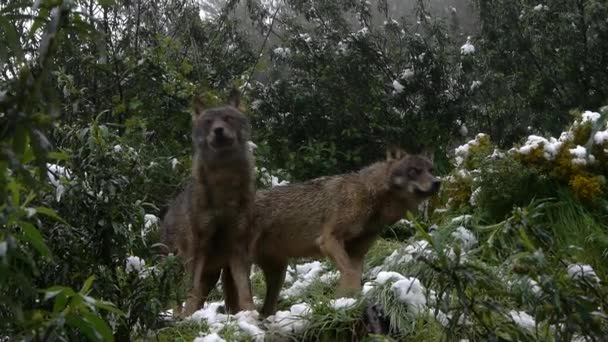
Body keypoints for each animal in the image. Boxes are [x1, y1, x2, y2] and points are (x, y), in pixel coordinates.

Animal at [159, 89, 254, 316]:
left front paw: (250, 313)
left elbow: (244, 289)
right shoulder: (197, 247)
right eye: (209, 122)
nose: (218, 130)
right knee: (178, 296)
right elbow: (190, 291)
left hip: (214, 274)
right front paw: (188, 317)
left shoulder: (238, 245)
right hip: (178, 266)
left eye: (228, 118)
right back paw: (179, 315)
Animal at [222, 150, 436, 316]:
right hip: (247, 262)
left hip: (278, 271)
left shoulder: (357, 252)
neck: (370, 194)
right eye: (414, 171)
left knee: (267, 307)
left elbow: (353, 274)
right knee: (244, 295)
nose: (438, 182)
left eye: (431, 170)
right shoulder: (328, 239)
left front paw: (344, 300)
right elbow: (350, 273)